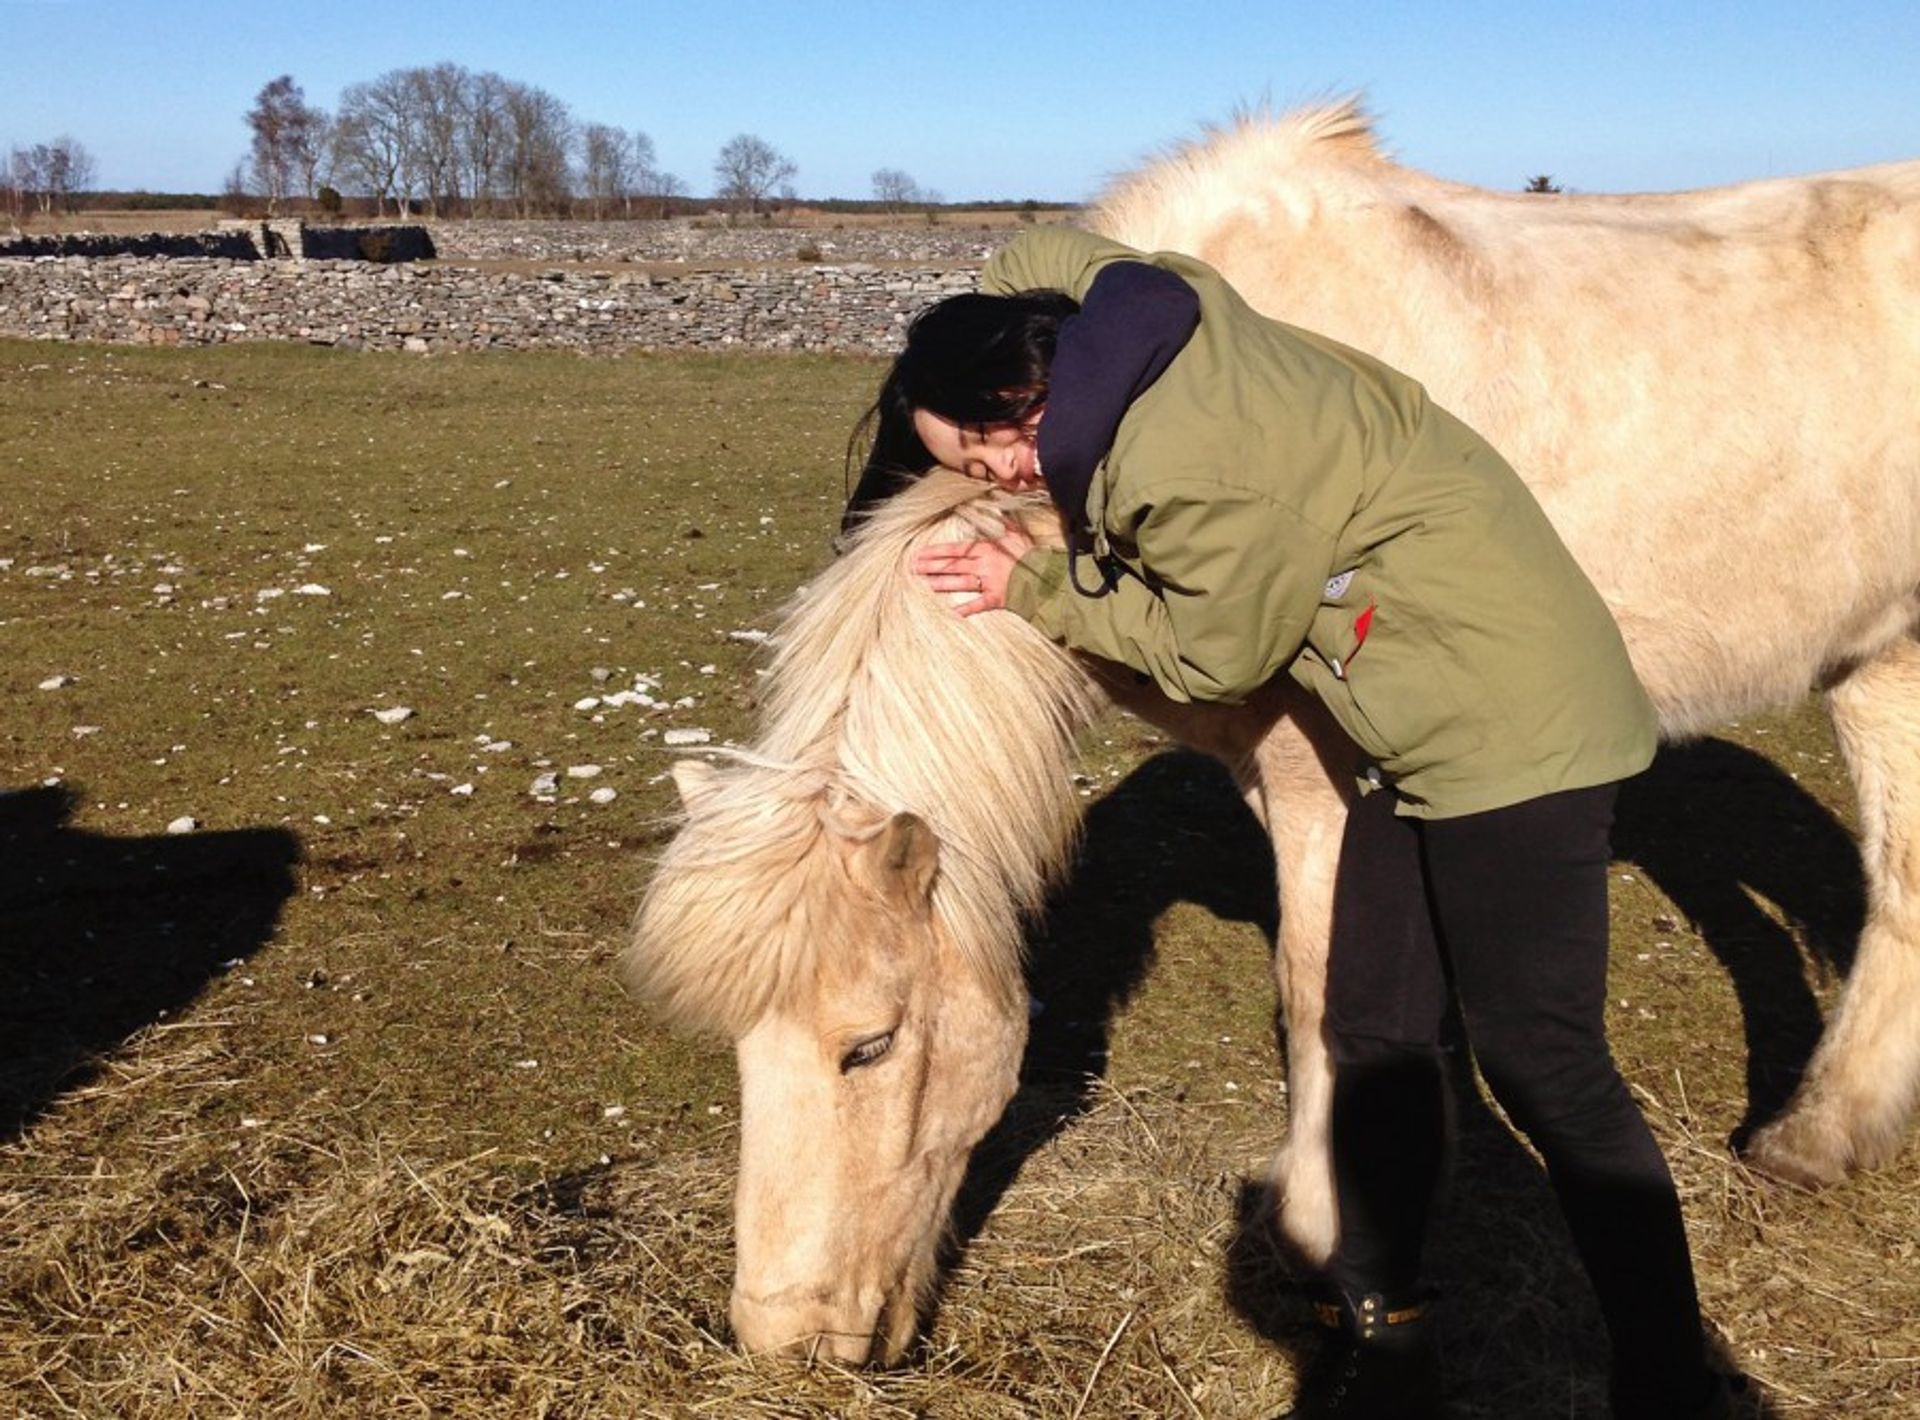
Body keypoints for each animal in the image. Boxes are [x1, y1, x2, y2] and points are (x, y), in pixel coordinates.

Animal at [625, 105, 1920, 1358]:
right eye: (737, 1048)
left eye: (872, 1044)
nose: (783, 1337)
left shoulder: (1322, 779)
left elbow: (1319, 991)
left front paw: (1320, 1229)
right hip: (1879, 665)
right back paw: (1816, 1139)